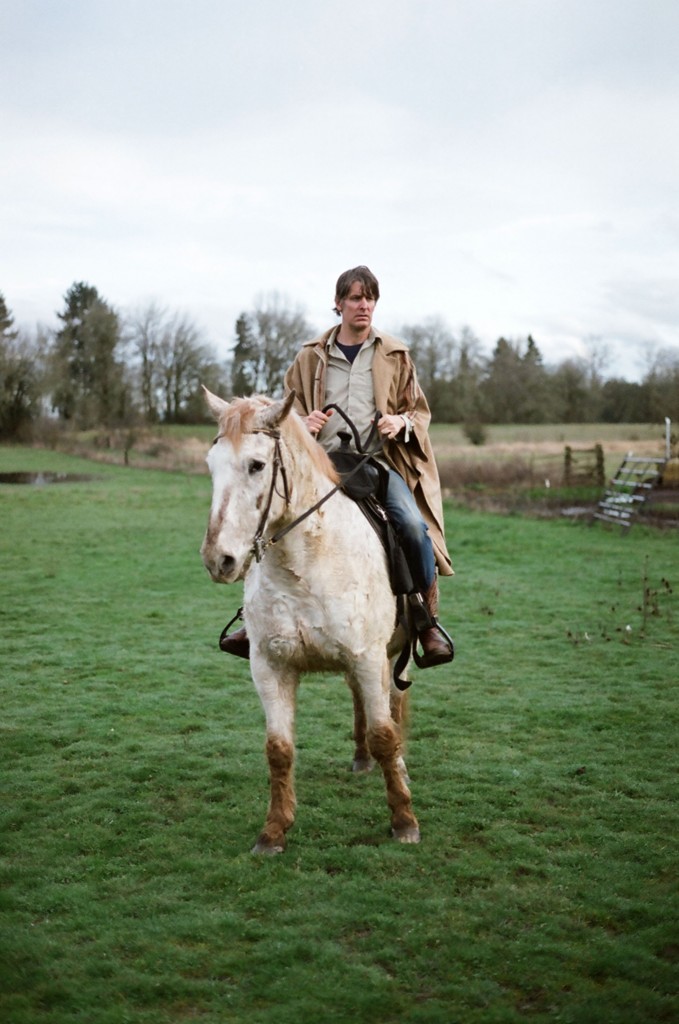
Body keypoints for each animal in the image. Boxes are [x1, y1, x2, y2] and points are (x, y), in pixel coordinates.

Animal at [199, 387, 417, 851]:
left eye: (257, 465)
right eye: (211, 464)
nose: (218, 560)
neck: (305, 565)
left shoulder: (369, 658)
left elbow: (385, 734)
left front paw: (404, 821)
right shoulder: (270, 666)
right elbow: (278, 748)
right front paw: (274, 830)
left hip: (397, 656)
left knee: (394, 707)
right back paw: (361, 760)